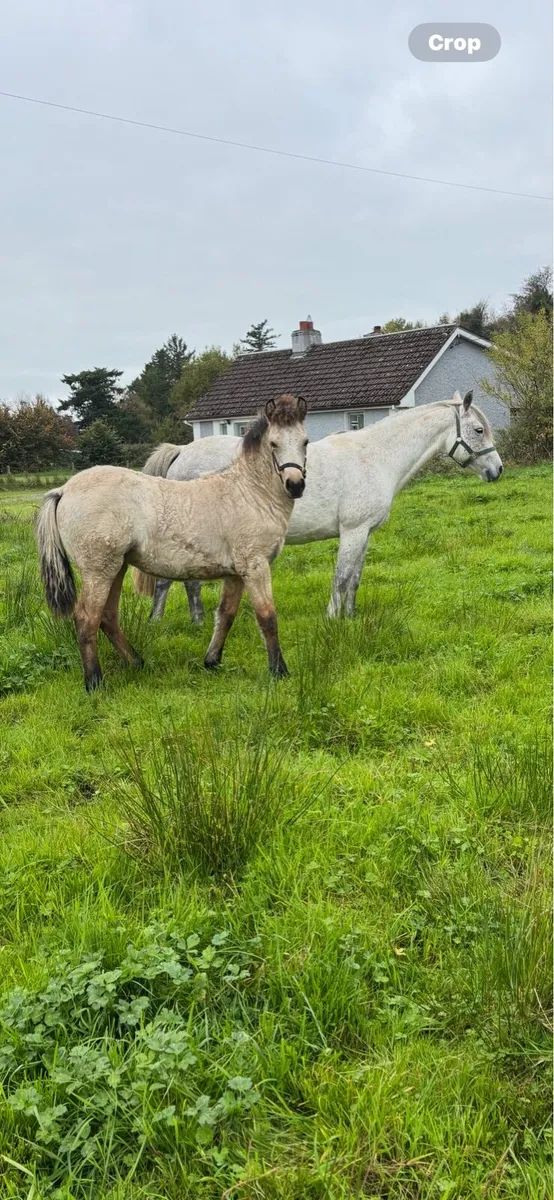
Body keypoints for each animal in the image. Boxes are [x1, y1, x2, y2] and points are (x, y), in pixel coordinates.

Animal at [36, 394, 308, 690]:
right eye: (274, 444)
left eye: (305, 442)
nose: (296, 485)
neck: (248, 493)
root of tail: (64, 490)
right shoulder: (255, 566)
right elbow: (267, 617)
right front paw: (279, 671)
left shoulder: (237, 573)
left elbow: (226, 614)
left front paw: (212, 661)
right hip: (98, 571)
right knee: (86, 619)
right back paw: (95, 682)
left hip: (116, 568)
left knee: (107, 617)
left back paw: (136, 662)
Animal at [143, 390, 503, 623]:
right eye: (478, 429)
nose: (497, 470)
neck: (376, 457)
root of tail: (182, 452)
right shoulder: (352, 531)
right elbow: (341, 577)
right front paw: (332, 619)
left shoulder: (364, 533)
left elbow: (354, 578)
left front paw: (350, 618)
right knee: (173, 581)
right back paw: (169, 623)